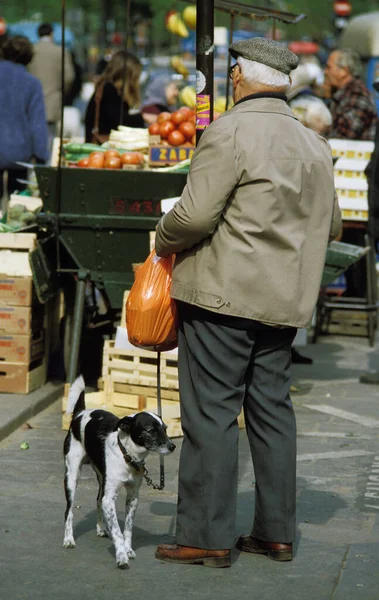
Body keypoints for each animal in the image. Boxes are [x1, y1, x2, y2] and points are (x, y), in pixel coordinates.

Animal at [63, 378, 176, 568]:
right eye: (151, 430)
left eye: (165, 429)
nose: (173, 446)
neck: (127, 456)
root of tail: (81, 412)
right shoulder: (110, 498)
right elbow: (117, 531)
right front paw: (121, 556)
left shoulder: (133, 497)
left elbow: (127, 529)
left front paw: (128, 550)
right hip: (72, 476)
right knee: (69, 511)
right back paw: (68, 539)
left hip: (102, 478)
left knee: (98, 500)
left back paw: (101, 528)